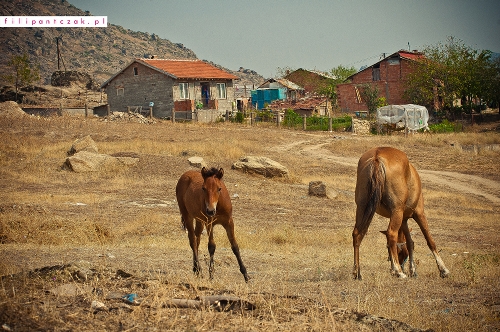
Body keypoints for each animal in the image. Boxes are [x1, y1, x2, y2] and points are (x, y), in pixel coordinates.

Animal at [352, 148, 450, 280]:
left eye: (388, 249)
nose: (392, 269)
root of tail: (377, 156)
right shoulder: (419, 214)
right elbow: (430, 240)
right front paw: (443, 270)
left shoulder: (403, 220)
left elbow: (410, 243)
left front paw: (412, 270)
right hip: (396, 211)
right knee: (391, 233)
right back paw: (399, 272)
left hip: (363, 208)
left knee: (357, 234)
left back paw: (357, 273)